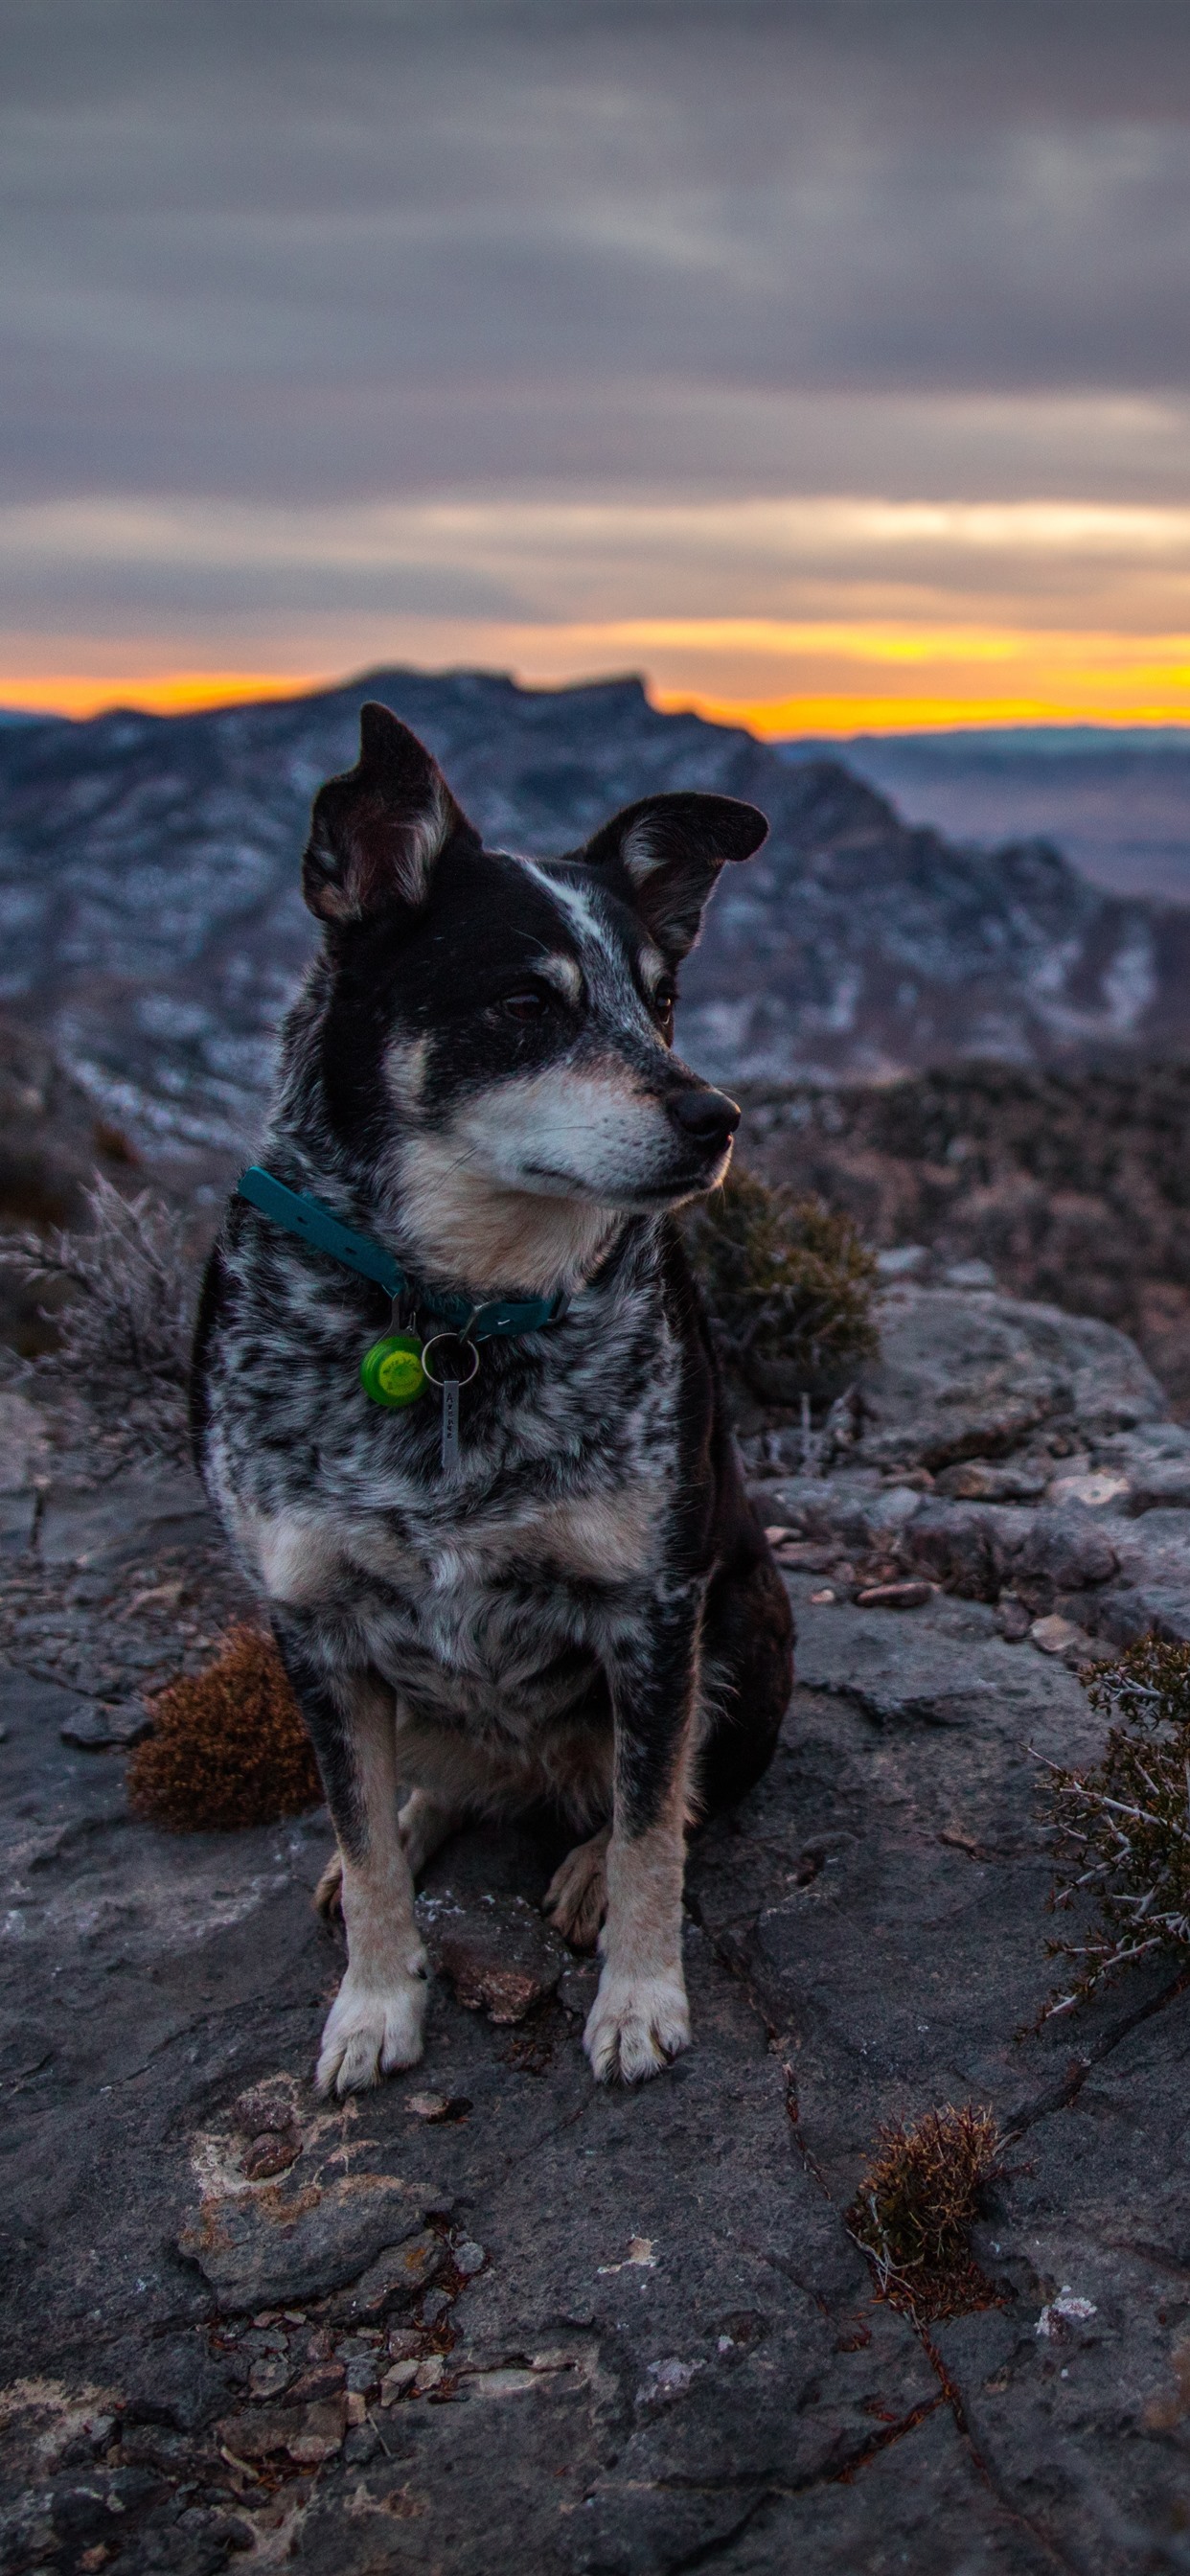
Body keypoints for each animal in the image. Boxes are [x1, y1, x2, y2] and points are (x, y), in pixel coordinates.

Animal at [193, 705, 788, 2091]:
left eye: (659, 1000)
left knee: (659, 1784)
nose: (717, 1114)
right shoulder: (308, 1623)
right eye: (525, 1003)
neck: (452, 1323)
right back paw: (422, 1818)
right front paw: (372, 2003)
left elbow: (650, 1825)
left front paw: (637, 1995)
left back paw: (577, 1867)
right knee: (423, 1788)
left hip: (744, 1617)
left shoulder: (651, 1606)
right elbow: (359, 1840)